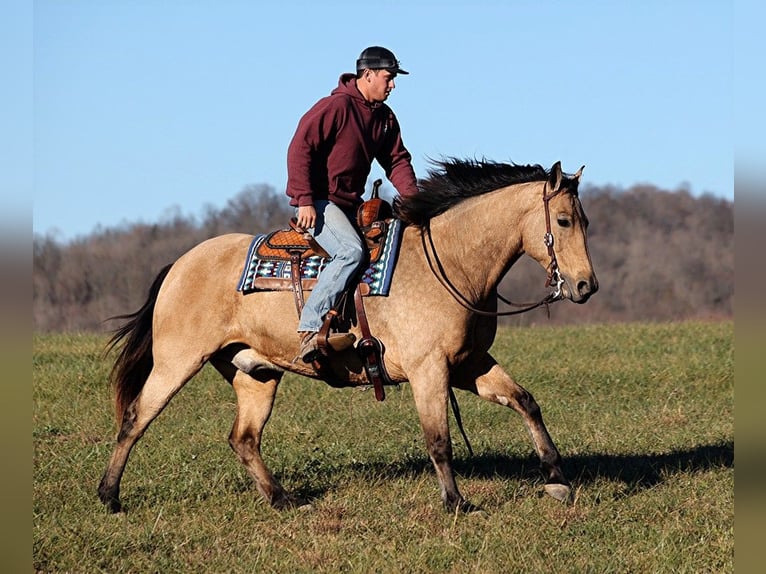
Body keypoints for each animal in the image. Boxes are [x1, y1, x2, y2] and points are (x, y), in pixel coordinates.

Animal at [97, 160, 600, 516]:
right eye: (563, 221)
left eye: (586, 221)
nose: (585, 286)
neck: (451, 262)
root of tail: (179, 264)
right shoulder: (429, 369)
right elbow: (438, 438)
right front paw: (456, 502)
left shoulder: (469, 362)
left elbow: (526, 401)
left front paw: (556, 477)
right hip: (177, 361)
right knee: (136, 418)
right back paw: (109, 496)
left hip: (255, 373)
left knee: (244, 438)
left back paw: (282, 499)